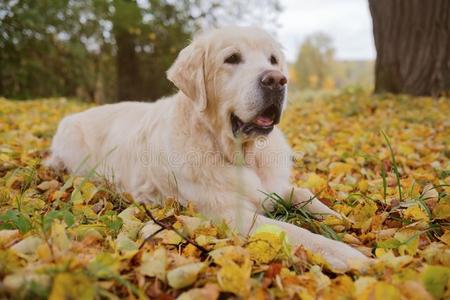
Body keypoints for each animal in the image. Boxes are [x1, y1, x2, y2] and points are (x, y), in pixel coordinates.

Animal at [46, 27, 370, 270]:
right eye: (232, 58)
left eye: (273, 59)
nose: (277, 80)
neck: (241, 155)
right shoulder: (231, 215)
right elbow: (296, 232)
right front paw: (350, 255)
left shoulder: (274, 187)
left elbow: (306, 195)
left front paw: (344, 220)